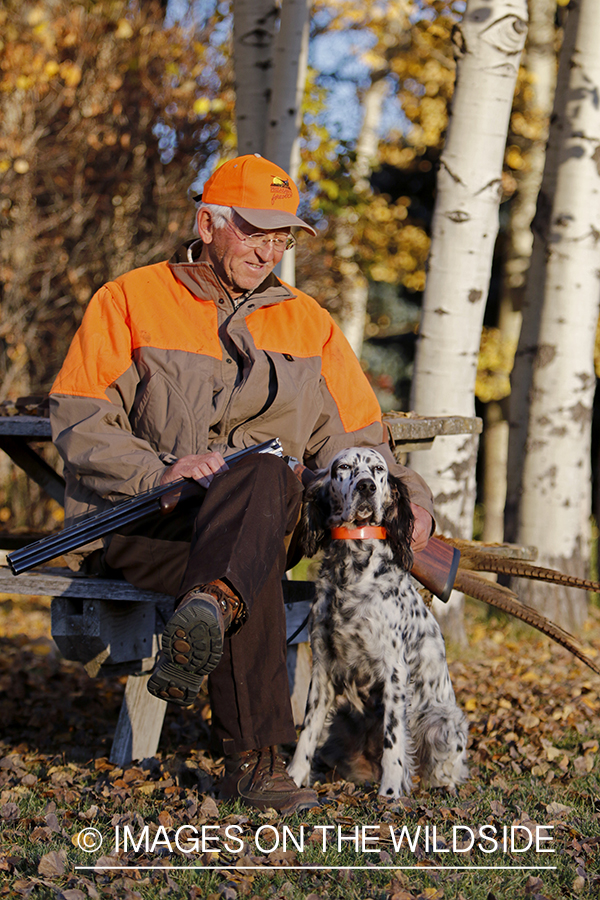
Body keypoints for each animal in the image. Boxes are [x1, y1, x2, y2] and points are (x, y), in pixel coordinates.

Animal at [288, 448, 468, 796]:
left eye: (379, 469)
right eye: (343, 467)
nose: (366, 487)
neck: (352, 569)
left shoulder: (394, 670)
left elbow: (394, 739)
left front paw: (390, 792)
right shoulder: (323, 665)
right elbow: (307, 729)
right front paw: (293, 778)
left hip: (443, 721)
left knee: (442, 768)